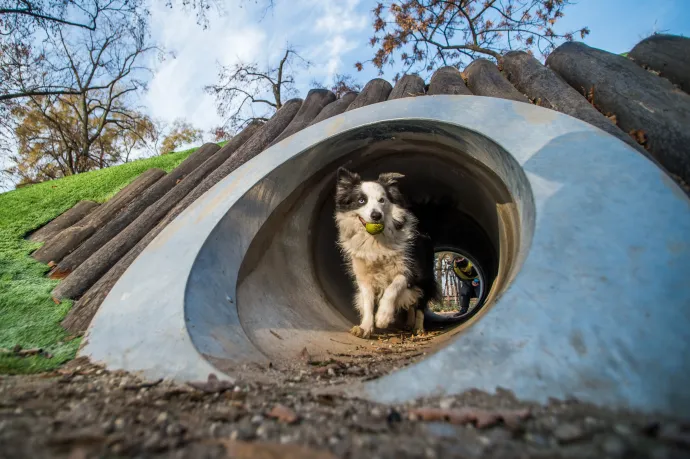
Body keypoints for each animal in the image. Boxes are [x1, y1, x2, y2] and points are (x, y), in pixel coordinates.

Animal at [332, 167, 436, 340]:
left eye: (382, 200)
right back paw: (409, 323)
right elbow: (367, 301)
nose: (376, 215)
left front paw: (383, 317)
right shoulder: (363, 274)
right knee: (411, 303)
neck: (375, 241)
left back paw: (419, 328)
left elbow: (393, 287)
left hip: (425, 274)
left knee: (420, 301)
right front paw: (365, 327)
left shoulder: (410, 269)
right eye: (361, 200)